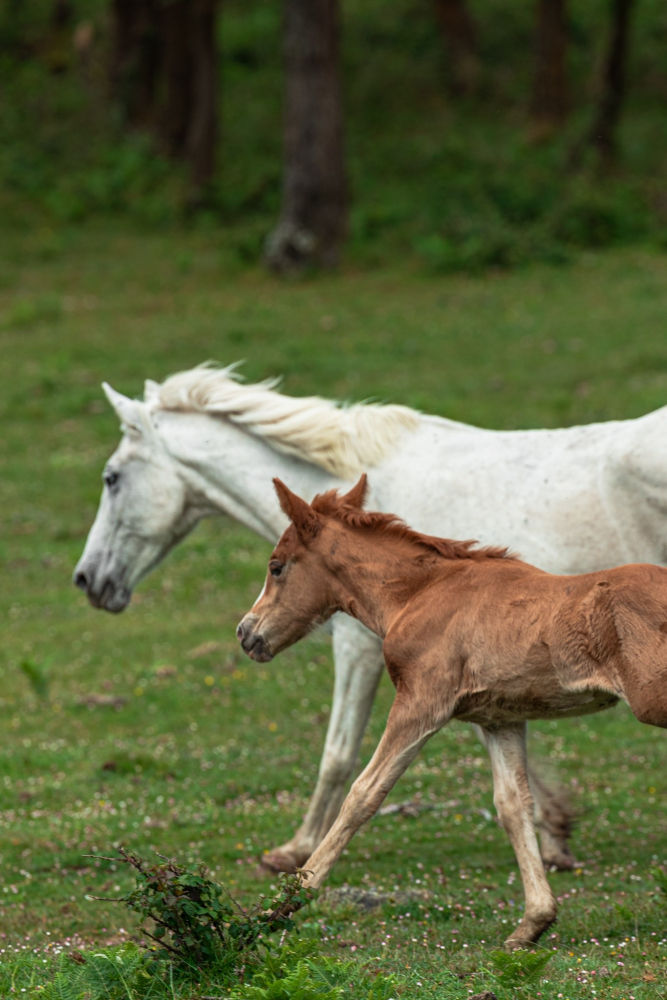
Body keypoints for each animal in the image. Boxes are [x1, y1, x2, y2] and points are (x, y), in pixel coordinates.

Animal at [74, 363, 667, 873]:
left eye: (111, 478)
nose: (87, 580)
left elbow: (338, 753)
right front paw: (554, 831)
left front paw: (296, 849)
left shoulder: (360, 648)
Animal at [237, 475, 667, 949]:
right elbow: (513, 805)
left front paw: (284, 904)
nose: (246, 633)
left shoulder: (420, 703)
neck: (417, 594)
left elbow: (364, 793)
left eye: (277, 566)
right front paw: (533, 922)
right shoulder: (501, 719)